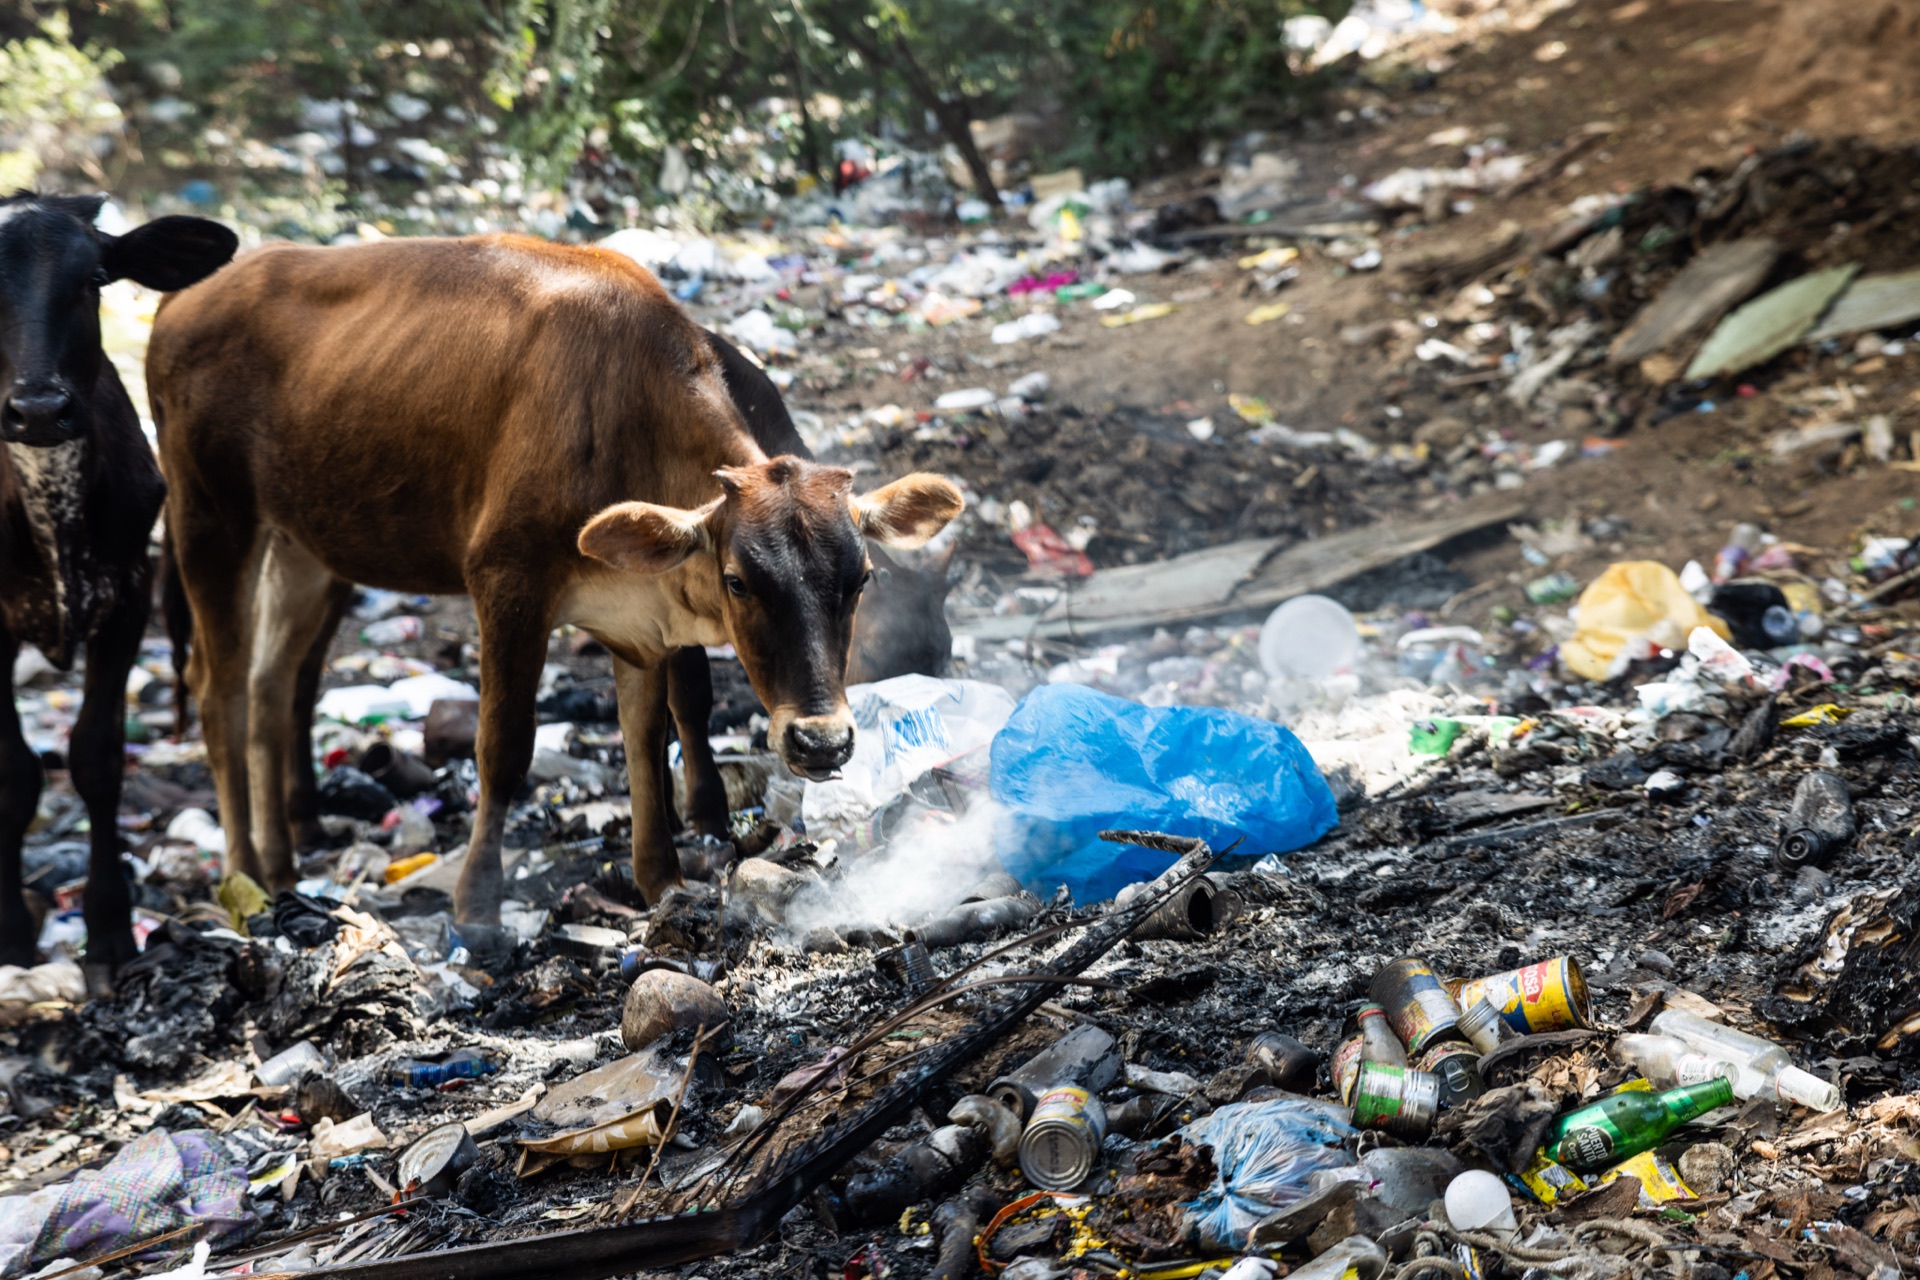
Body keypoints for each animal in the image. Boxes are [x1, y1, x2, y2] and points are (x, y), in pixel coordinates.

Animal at [0, 193, 235, 986]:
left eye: (95, 277)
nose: (39, 408)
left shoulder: (128, 600)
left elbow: (96, 760)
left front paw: (108, 930)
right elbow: (14, 774)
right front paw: (11, 932)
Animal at [146, 234, 962, 923]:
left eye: (859, 579)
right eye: (737, 580)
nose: (822, 744)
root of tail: (184, 300)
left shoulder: (638, 621)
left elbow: (647, 736)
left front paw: (661, 877)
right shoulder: (506, 580)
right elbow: (503, 747)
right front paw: (478, 906)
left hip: (301, 542)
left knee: (271, 685)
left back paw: (282, 868)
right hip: (209, 517)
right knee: (220, 693)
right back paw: (243, 872)